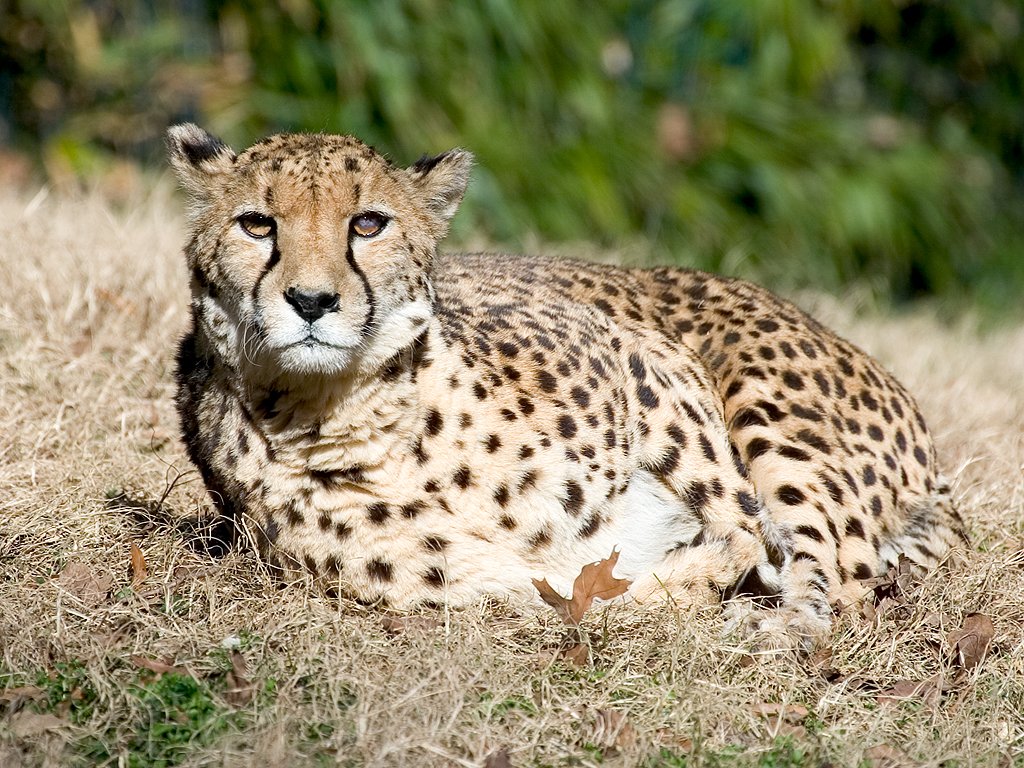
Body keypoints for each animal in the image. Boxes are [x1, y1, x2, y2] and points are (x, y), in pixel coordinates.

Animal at [163, 124, 962, 651]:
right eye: (256, 224)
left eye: (368, 223)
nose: (311, 301)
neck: (352, 410)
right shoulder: (479, 584)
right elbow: (580, 596)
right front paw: (699, 577)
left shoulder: (645, 356)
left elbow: (735, 520)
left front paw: (737, 571)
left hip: (767, 400)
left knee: (843, 577)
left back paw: (780, 622)